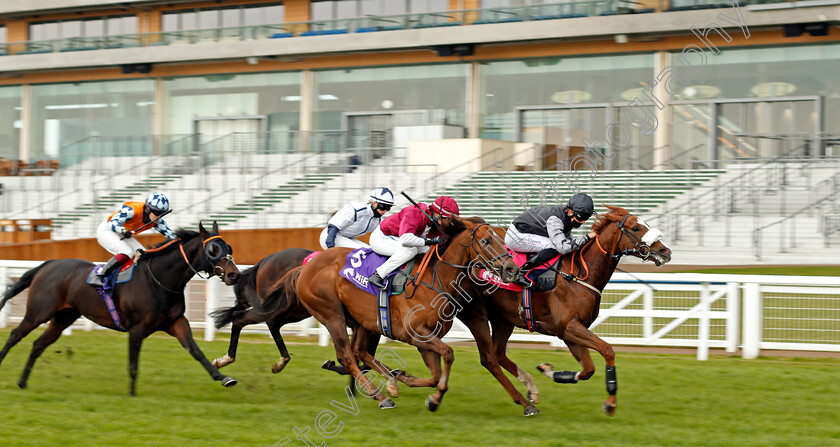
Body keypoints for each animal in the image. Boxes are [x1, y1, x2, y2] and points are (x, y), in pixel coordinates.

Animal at [0, 223, 243, 396]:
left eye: (229, 247)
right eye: (213, 249)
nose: (234, 274)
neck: (159, 280)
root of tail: (47, 264)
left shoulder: (176, 322)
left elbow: (196, 351)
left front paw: (224, 377)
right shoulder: (137, 328)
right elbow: (133, 364)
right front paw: (132, 394)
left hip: (63, 317)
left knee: (38, 344)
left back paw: (22, 382)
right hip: (39, 312)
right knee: (15, 335)